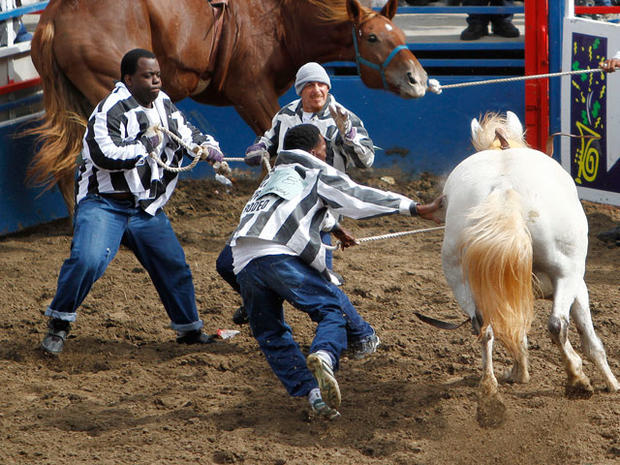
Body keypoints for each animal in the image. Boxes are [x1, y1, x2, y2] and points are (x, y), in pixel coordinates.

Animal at [25, 0, 426, 210]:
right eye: (371, 37)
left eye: (399, 34)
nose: (418, 79)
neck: (279, 20)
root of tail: (54, 15)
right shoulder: (251, 93)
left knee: (68, 163)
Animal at [440, 111, 620, 402]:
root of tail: (503, 188)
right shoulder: (579, 287)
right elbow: (589, 338)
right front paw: (611, 382)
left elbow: (517, 330)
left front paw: (519, 372)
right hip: (566, 272)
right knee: (557, 325)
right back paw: (577, 379)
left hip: (463, 280)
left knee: (484, 329)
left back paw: (490, 385)